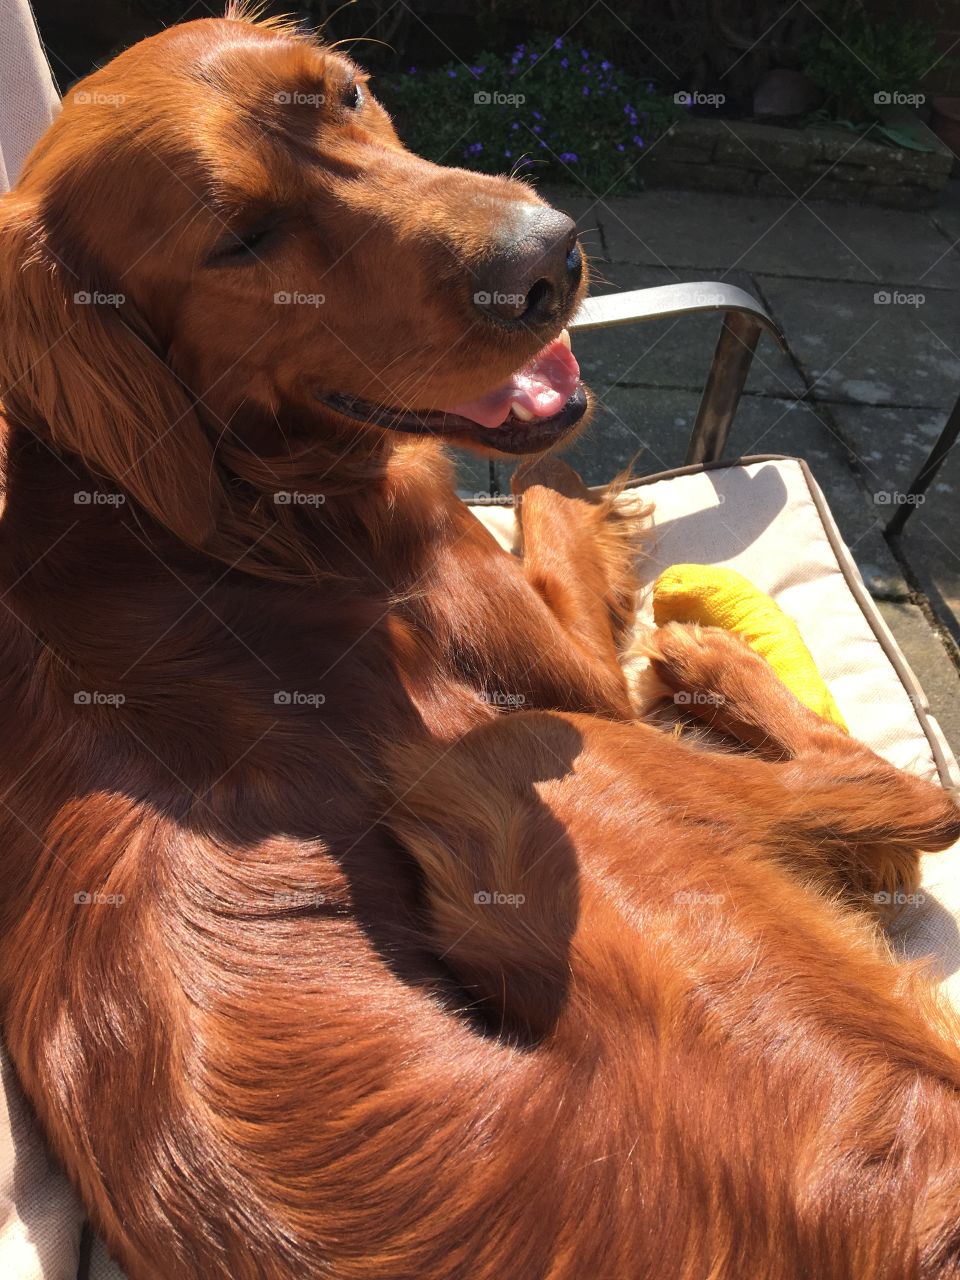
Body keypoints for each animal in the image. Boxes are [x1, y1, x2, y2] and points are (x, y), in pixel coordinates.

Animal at [1, 10, 960, 1280]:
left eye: (347, 92)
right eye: (240, 237)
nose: (547, 256)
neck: (185, 491)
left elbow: (551, 481)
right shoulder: (571, 677)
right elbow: (552, 494)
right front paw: (620, 526)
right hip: (556, 770)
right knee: (898, 792)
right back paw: (717, 665)